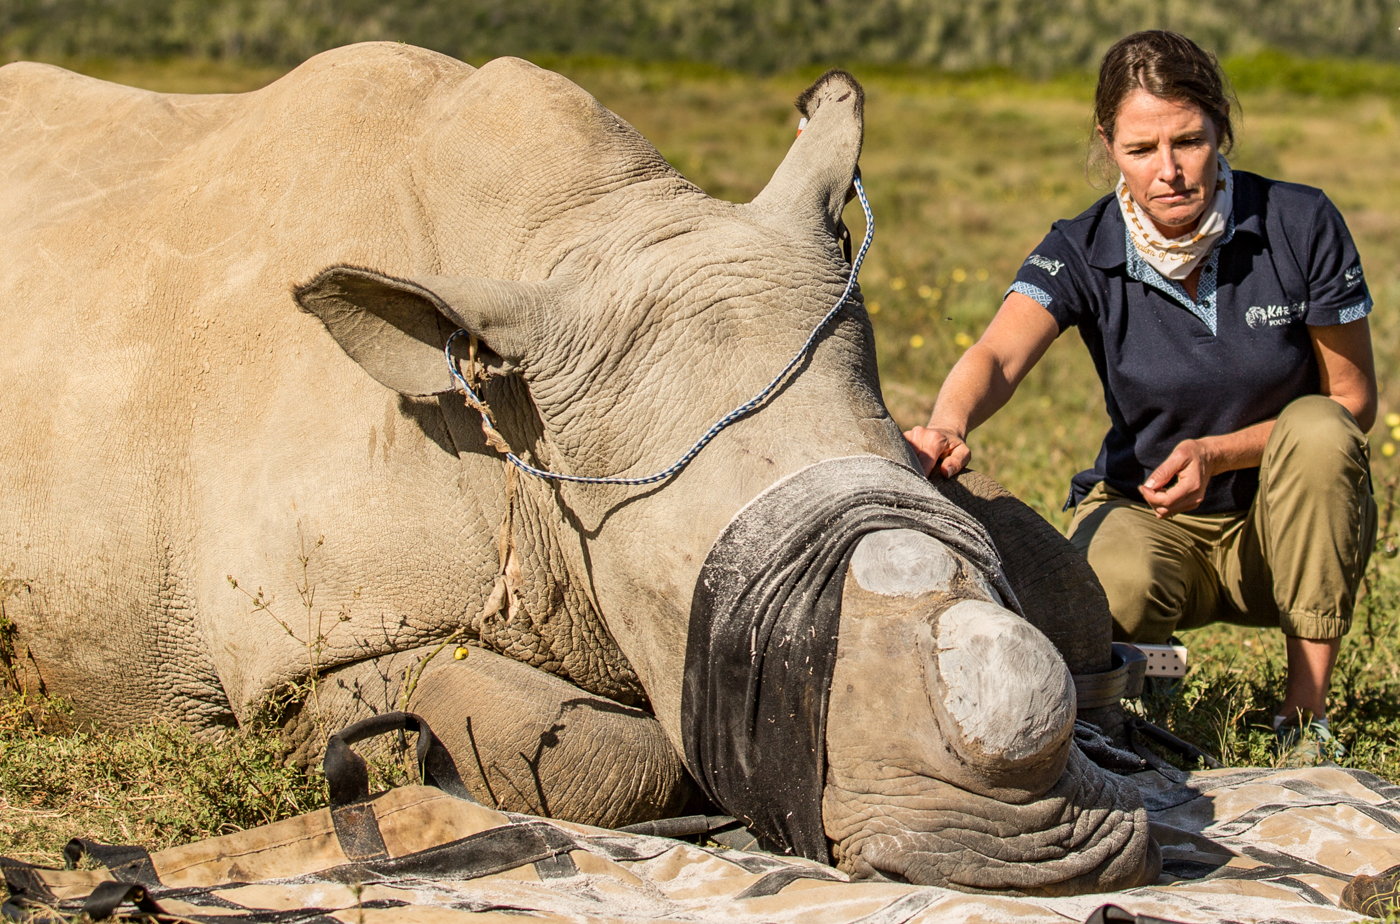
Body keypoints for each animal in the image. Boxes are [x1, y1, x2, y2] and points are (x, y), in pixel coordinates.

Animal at [0, 45, 1153, 896]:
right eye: (684, 610)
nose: (1029, 845)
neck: (580, 233)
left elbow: (1062, 580)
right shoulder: (312, 650)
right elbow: (587, 749)